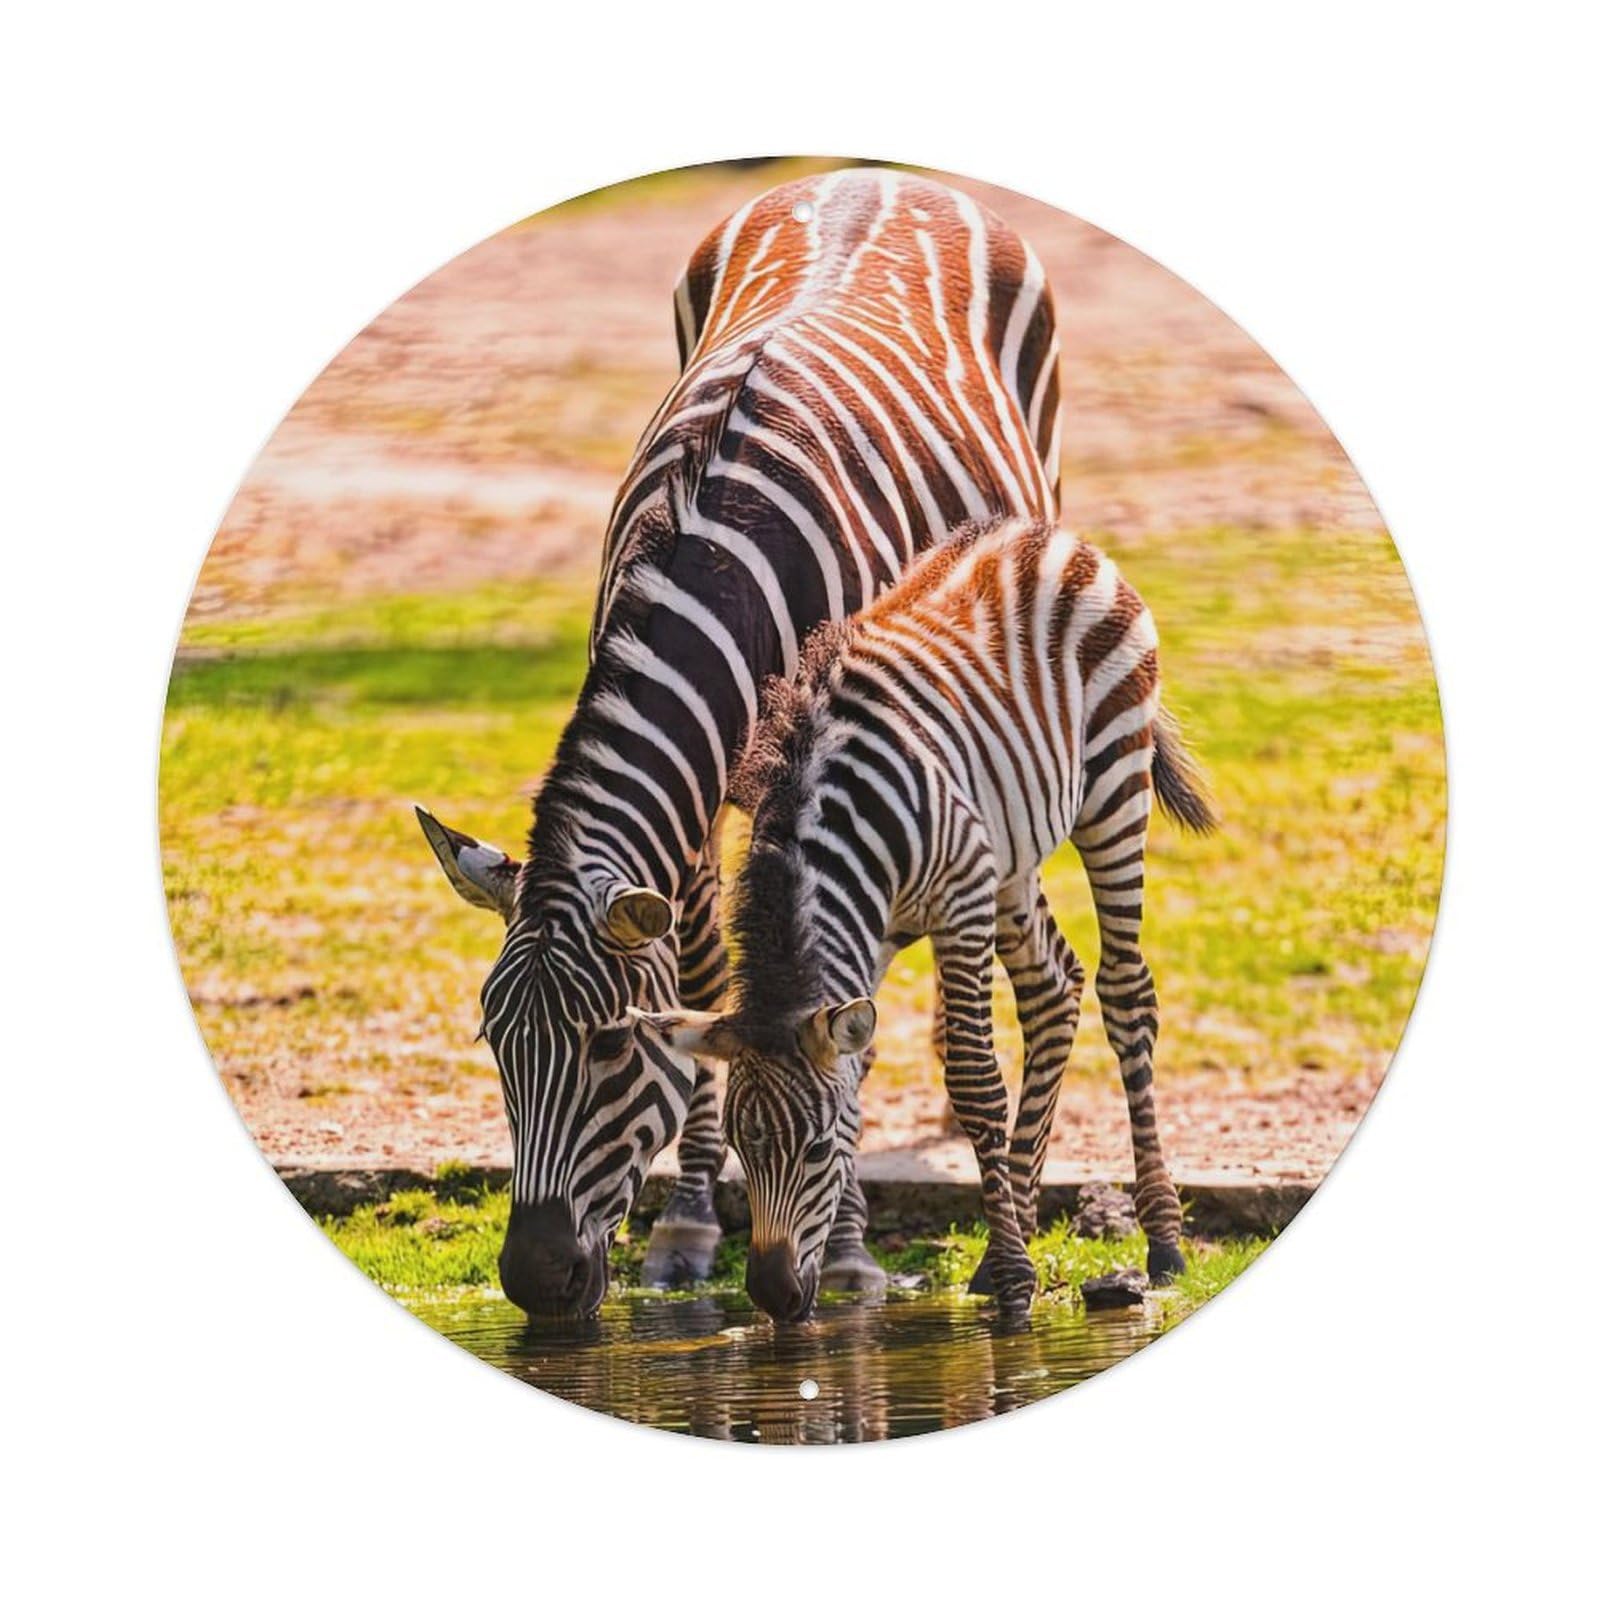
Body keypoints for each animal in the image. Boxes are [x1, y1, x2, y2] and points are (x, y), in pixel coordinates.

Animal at [417, 167, 1063, 1315]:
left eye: (606, 1048)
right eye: (494, 1041)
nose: (536, 1283)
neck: (713, 557)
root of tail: (870, 173)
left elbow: (830, 1007)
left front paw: (844, 1254)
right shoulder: (689, 802)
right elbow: (711, 978)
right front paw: (684, 1230)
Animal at [632, 515, 1216, 1320]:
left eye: (815, 1150)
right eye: (741, 1152)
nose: (775, 1297)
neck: (838, 823)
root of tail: (1043, 534)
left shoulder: (959, 899)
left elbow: (974, 1080)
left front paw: (1014, 1283)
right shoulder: (868, 937)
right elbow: (859, 1078)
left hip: (1113, 784)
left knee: (1126, 993)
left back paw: (1160, 1242)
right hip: (1010, 850)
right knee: (1054, 988)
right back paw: (1014, 1235)